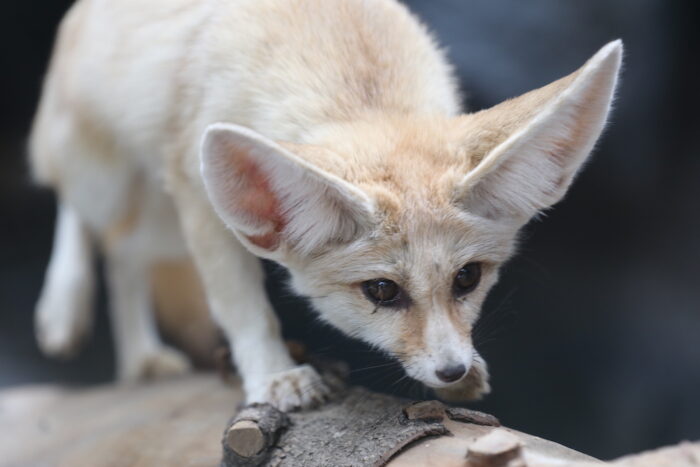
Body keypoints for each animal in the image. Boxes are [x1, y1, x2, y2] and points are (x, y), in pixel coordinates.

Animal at [31, 0, 624, 410]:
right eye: (381, 291)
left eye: (468, 279)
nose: (452, 370)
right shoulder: (197, 194)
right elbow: (241, 305)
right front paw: (274, 375)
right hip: (119, 184)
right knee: (82, 210)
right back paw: (64, 303)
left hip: (163, 223)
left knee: (124, 253)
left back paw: (138, 358)